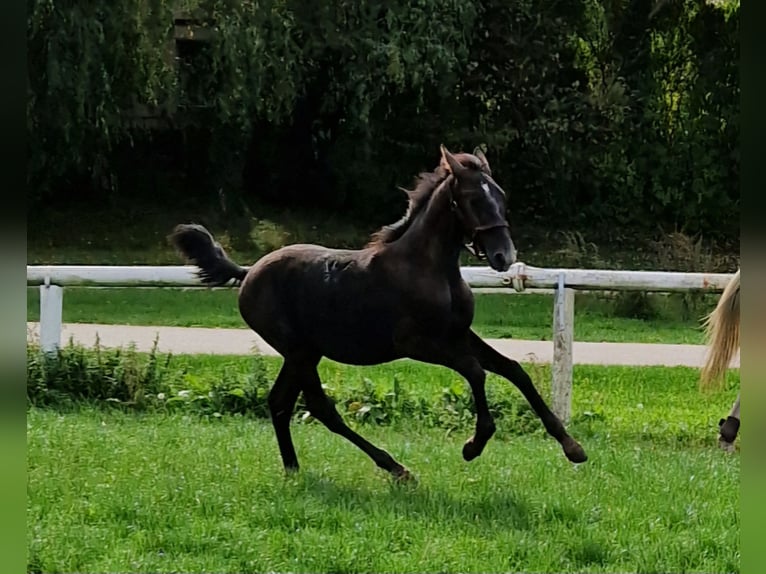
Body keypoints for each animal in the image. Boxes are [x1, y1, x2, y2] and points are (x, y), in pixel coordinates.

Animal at [170, 146, 588, 480]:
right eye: (471, 198)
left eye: (500, 195)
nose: (504, 256)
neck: (429, 268)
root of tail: (248, 273)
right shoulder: (417, 343)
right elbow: (475, 371)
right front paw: (473, 444)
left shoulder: (458, 334)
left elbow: (514, 370)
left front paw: (573, 447)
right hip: (298, 350)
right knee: (319, 407)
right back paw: (395, 468)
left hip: (306, 351)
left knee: (280, 403)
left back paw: (293, 468)